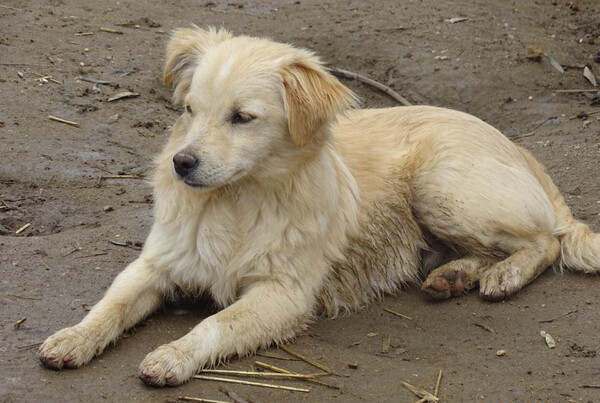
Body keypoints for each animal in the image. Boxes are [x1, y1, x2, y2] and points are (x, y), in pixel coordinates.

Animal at [38, 26, 600, 386]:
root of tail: (518, 148)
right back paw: (453, 275)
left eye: (242, 117)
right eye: (190, 110)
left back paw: (503, 276)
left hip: (440, 187)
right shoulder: (155, 264)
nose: (181, 163)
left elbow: (214, 324)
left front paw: (174, 355)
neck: (236, 203)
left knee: (546, 240)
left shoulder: (283, 295)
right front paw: (72, 338)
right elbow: (108, 307)